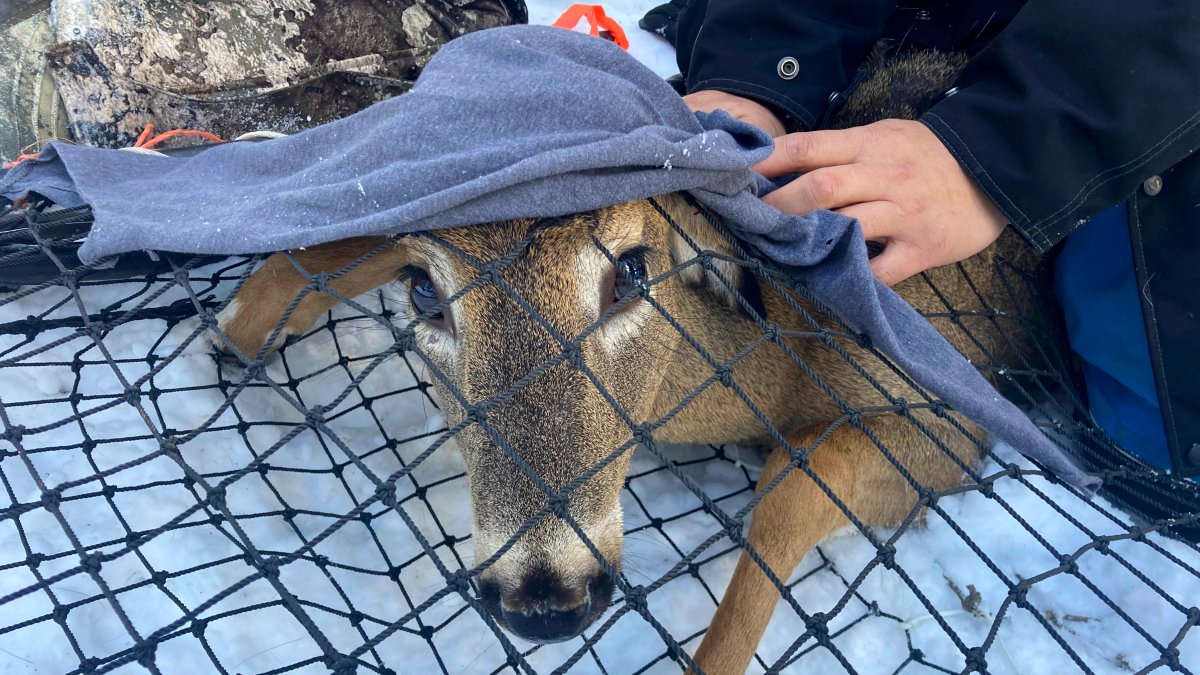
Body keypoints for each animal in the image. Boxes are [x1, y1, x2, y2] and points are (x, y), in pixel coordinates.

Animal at [214, 48, 1044, 674]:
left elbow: (790, 488)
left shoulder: (940, 431)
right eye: (425, 292)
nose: (543, 599)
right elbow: (369, 233)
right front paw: (242, 326)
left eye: (634, 271)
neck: (782, 362)